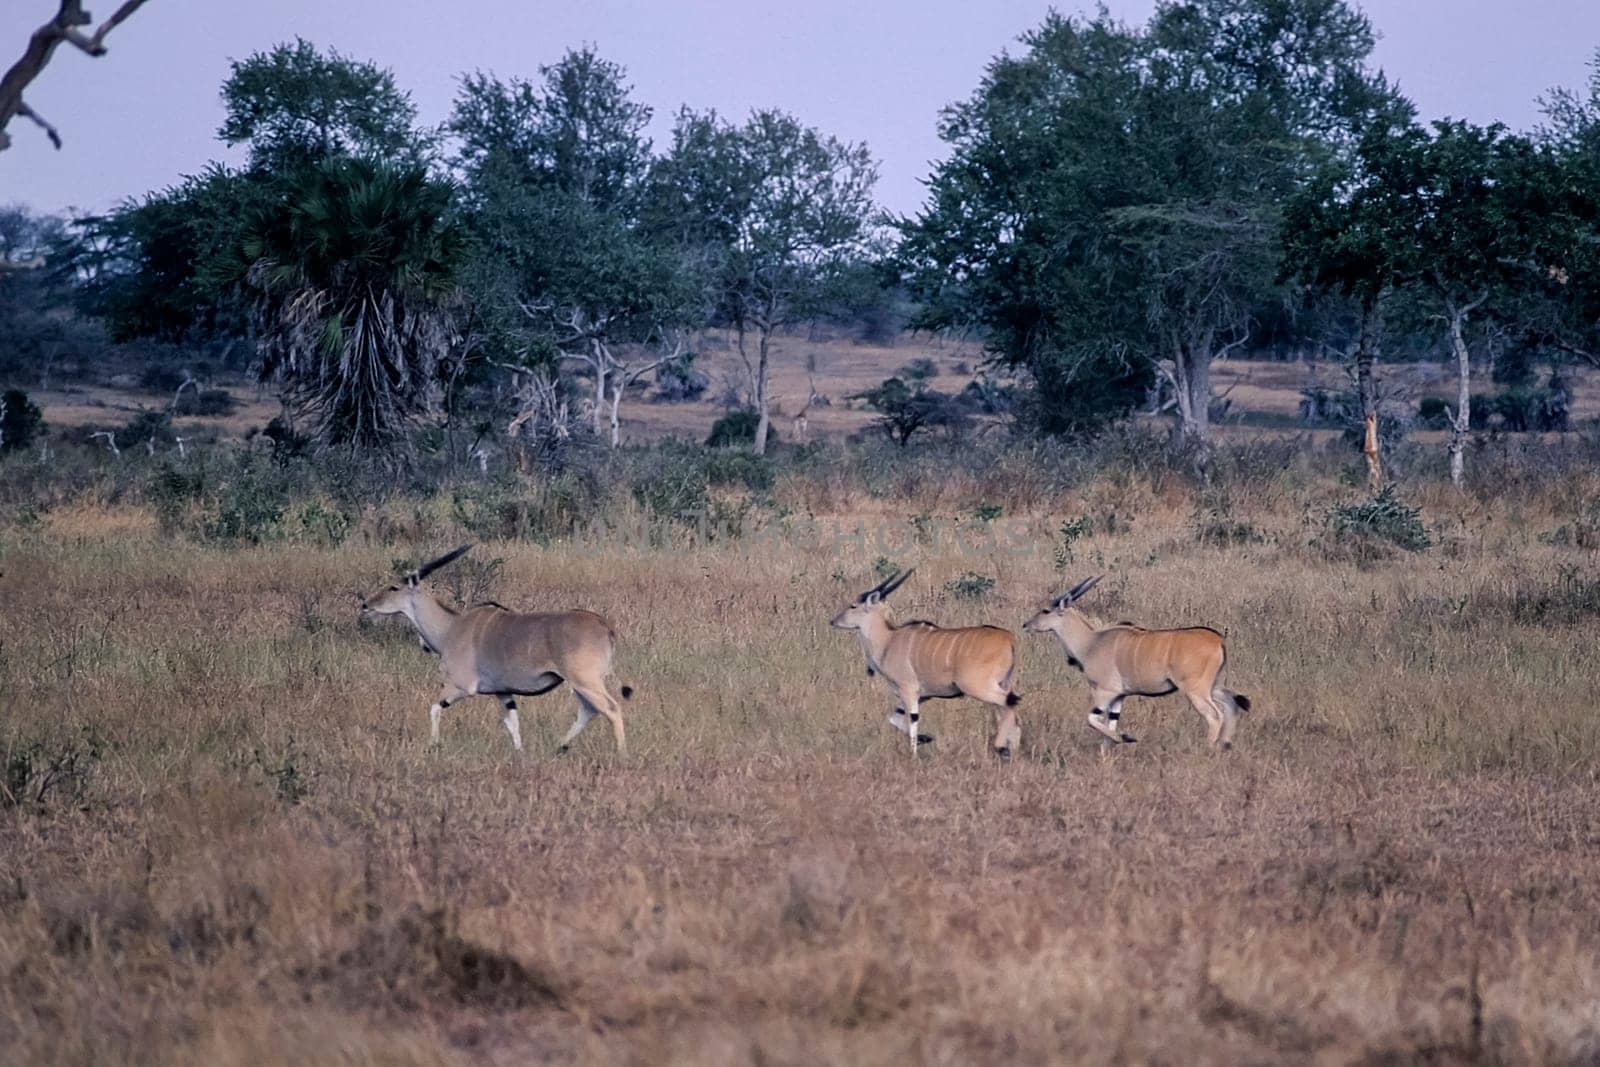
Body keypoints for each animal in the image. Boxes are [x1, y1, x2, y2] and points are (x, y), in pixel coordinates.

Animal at [361, 547, 630, 755]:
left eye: (393, 587)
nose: (365, 605)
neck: (451, 628)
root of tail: (604, 626)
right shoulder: (503, 693)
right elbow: (513, 724)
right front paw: (520, 753)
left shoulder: (461, 687)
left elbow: (435, 708)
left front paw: (432, 746)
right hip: (580, 684)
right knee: (589, 710)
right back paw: (559, 747)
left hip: (584, 680)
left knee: (610, 708)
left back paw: (621, 753)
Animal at [825, 572, 1024, 755]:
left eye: (853, 605)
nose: (833, 621)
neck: (888, 640)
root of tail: (1008, 638)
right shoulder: (922, 695)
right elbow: (895, 719)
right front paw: (925, 738)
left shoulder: (908, 689)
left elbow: (912, 719)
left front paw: (914, 755)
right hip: (1002, 684)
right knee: (1010, 714)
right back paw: (1011, 753)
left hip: (977, 687)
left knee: (1011, 702)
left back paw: (1001, 747)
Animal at [1024, 579, 1248, 748]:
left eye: (1045, 610)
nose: (1026, 624)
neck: (1092, 642)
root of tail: (1217, 640)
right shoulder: (1119, 697)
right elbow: (1109, 729)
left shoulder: (1105, 692)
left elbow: (1092, 720)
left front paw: (1126, 737)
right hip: (1214, 687)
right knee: (1232, 704)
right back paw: (1225, 746)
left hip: (1196, 691)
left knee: (1215, 716)